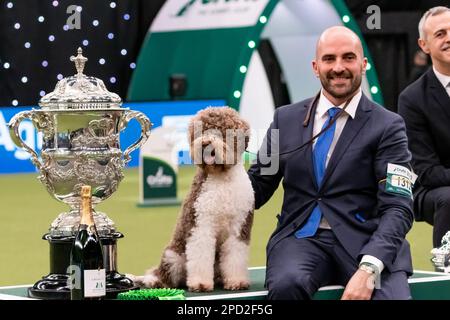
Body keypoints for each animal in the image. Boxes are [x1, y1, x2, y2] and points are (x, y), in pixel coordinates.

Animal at [131, 106, 256, 292]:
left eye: (220, 131)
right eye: (200, 131)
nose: (205, 143)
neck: (222, 178)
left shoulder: (239, 228)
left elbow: (235, 256)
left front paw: (237, 281)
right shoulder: (200, 224)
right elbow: (200, 255)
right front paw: (200, 283)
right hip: (172, 256)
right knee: (163, 275)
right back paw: (154, 281)